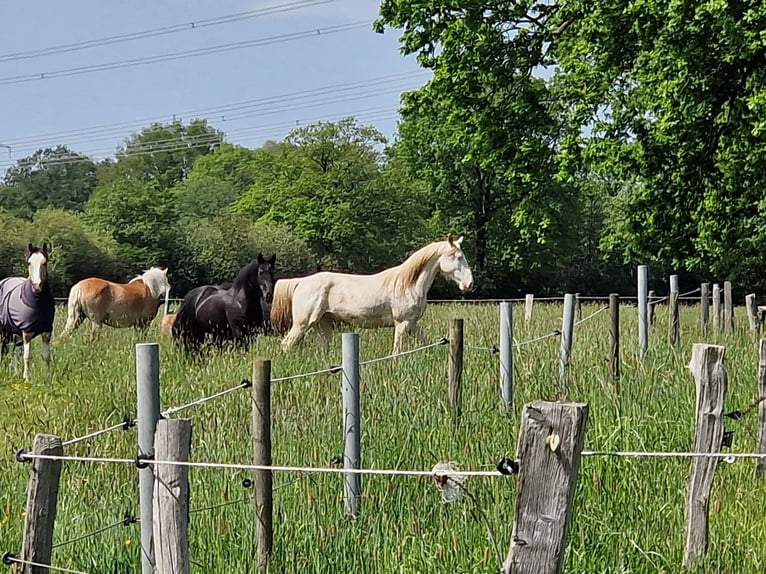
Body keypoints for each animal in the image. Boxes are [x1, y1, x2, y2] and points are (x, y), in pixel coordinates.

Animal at [0, 245, 55, 380]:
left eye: (44, 262)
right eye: (29, 263)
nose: (37, 286)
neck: (38, 303)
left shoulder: (46, 331)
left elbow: (47, 357)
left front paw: (48, 377)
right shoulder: (27, 332)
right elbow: (27, 356)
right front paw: (26, 378)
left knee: (15, 351)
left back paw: (15, 372)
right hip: (4, 331)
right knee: (4, 349)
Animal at [270, 235, 474, 354]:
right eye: (458, 257)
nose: (469, 284)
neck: (408, 284)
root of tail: (301, 281)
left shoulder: (412, 323)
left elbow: (426, 341)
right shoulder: (402, 323)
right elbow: (397, 352)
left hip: (323, 325)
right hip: (302, 324)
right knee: (285, 345)